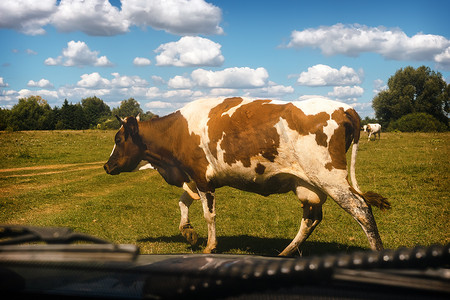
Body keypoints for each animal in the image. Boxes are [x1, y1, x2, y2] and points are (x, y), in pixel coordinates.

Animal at [103, 96, 388, 255]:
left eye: (118, 139)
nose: (107, 166)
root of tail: (344, 108)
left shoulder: (202, 176)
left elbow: (208, 214)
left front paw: (210, 245)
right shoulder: (194, 176)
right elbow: (183, 202)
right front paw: (188, 232)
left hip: (330, 178)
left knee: (362, 210)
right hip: (308, 184)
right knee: (311, 218)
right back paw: (285, 252)